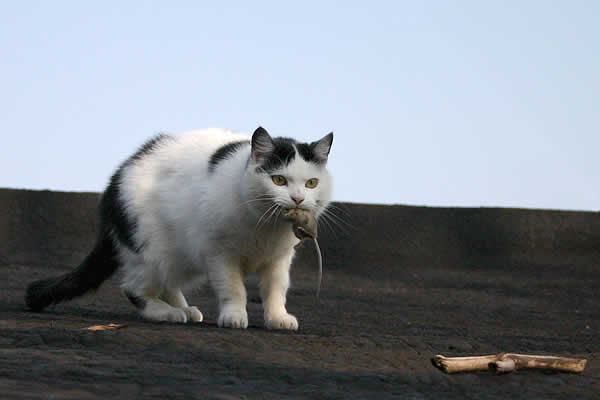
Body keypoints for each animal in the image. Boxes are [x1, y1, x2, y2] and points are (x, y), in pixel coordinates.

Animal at [25, 126, 332, 330]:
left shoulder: (279, 259)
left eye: (311, 183)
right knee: (134, 288)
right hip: (152, 250)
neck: (265, 228)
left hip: (179, 255)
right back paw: (166, 313)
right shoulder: (219, 253)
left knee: (168, 281)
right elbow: (233, 287)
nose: (298, 198)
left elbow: (276, 288)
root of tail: (115, 180)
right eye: (279, 180)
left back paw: (183, 307)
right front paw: (234, 316)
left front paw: (278, 317)